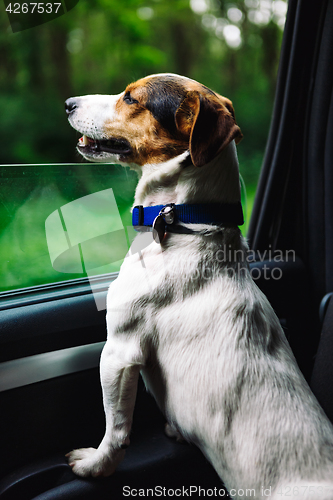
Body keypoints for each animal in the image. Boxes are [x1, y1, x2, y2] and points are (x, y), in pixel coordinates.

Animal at [63, 72, 332, 498]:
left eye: (130, 98)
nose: (68, 103)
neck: (184, 222)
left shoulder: (120, 351)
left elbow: (117, 428)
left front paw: (96, 466)